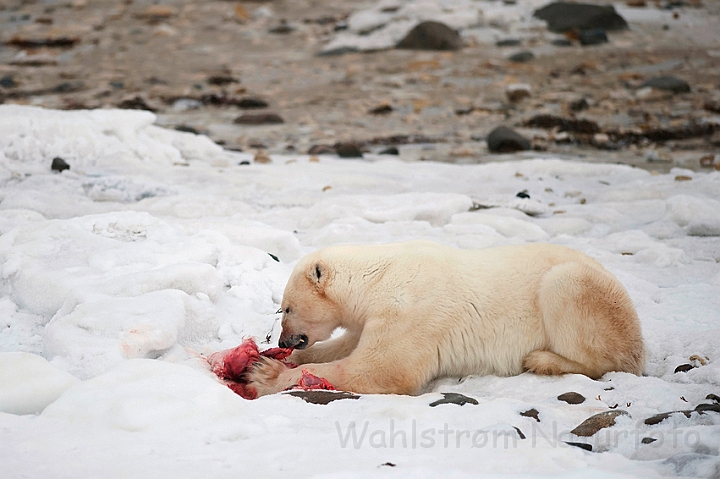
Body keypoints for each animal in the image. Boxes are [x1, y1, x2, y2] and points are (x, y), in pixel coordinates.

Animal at [246, 244, 640, 398]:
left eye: (286, 308)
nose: (283, 341)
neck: (378, 277)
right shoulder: (376, 316)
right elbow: (346, 345)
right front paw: (275, 358)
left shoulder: (409, 311)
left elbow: (382, 370)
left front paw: (264, 374)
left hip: (590, 294)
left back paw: (543, 360)